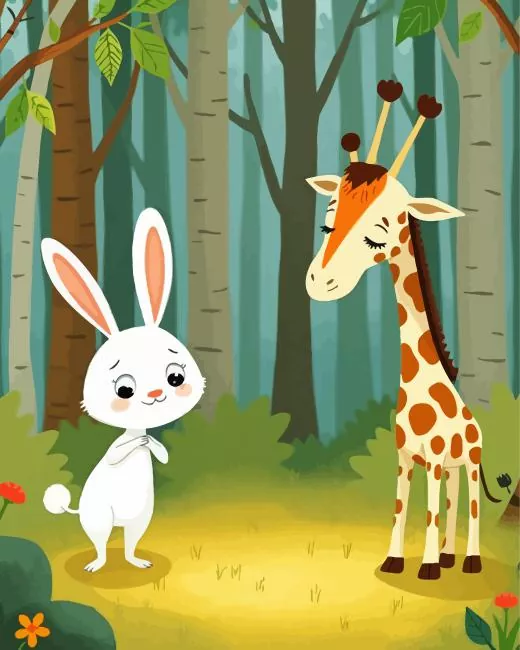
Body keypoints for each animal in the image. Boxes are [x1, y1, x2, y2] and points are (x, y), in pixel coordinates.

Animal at [41, 208, 206, 573]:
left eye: (175, 377)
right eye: (124, 390)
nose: (156, 395)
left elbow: (162, 453)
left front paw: (149, 443)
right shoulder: (116, 445)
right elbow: (118, 450)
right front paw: (137, 443)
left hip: (140, 518)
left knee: (129, 543)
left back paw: (136, 561)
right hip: (100, 518)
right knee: (102, 545)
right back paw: (98, 563)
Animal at [304, 80, 493, 580]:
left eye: (376, 235)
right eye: (327, 223)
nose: (319, 282)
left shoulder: (433, 458)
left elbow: (426, 510)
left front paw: (426, 567)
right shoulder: (408, 458)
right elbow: (401, 507)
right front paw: (397, 560)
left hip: (469, 460)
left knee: (470, 503)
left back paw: (468, 560)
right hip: (451, 465)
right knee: (452, 502)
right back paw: (448, 555)